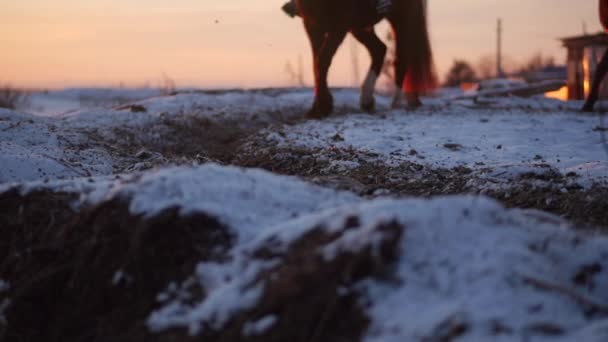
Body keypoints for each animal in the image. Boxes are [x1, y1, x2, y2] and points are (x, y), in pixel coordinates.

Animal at [290, 0, 436, 119]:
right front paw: (317, 108)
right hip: (359, 27)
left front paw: (323, 108)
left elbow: (322, 61)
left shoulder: (339, 26)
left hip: (401, 18)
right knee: (379, 49)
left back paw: (396, 102)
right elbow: (316, 64)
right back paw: (368, 100)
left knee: (402, 58)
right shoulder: (312, 25)